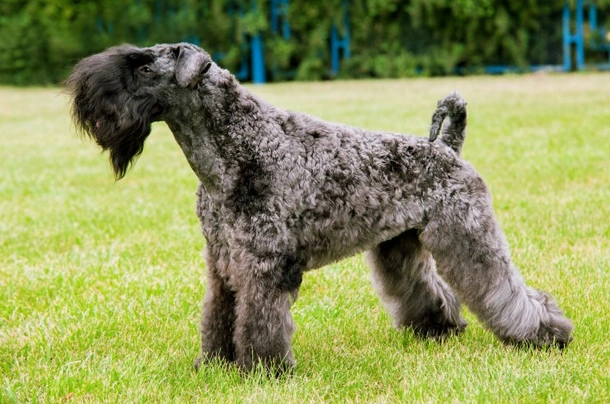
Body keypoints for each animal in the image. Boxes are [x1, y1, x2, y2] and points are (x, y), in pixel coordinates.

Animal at [66, 41, 568, 372]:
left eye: (143, 67)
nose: (82, 92)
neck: (237, 146)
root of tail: (447, 147)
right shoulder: (222, 260)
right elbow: (218, 313)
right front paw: (214, 365)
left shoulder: (263, 263)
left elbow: (259, 320)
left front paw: (261, 370)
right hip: (399, 245)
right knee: (424, 287)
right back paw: (438, 329)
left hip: (469, 235)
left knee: (509, 292)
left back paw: (547, 335)